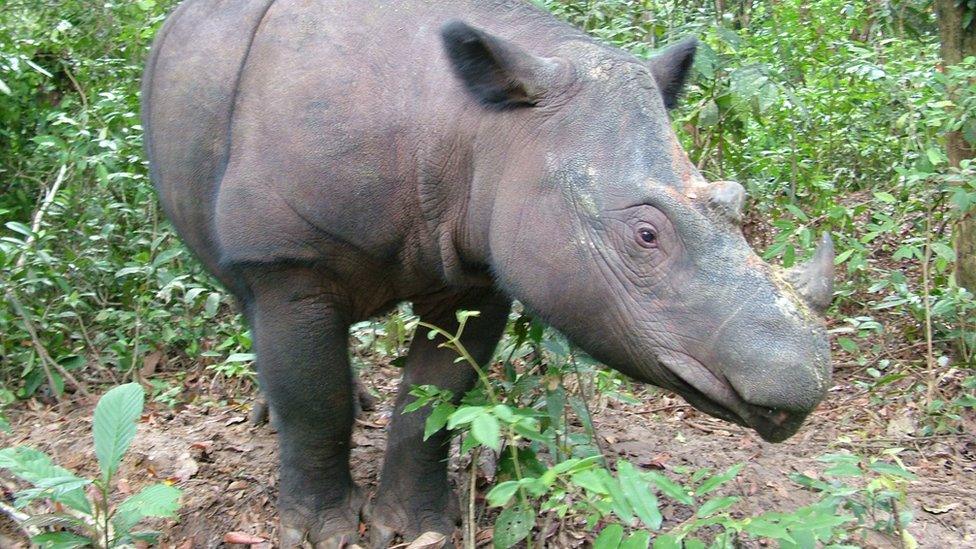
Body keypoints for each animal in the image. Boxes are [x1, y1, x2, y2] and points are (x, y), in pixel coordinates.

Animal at [141, 1, 836, 544]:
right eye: (646, 236)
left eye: (737, 200)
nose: (798, 388)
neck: (483, 127)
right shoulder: (288, 261)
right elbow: (316, 403)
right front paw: (320, 533)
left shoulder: (479, 266)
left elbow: (435, 402)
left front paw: (413, 527)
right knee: (251, 302)